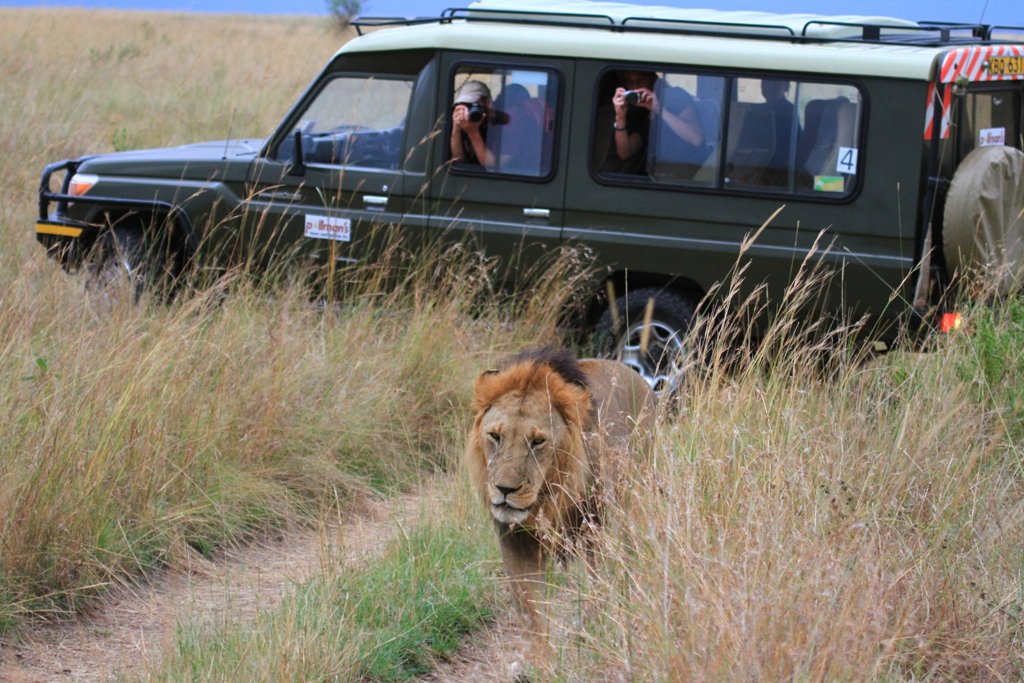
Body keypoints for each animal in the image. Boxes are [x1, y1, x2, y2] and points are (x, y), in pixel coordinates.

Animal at [466, 347, 656, 633]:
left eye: (538, 441)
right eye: (495, 436)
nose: (504, 489)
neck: (549, 501)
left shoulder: (596, 536)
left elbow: (596, 596)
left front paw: (590, 633)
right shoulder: (516, 545)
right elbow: (533, 617)